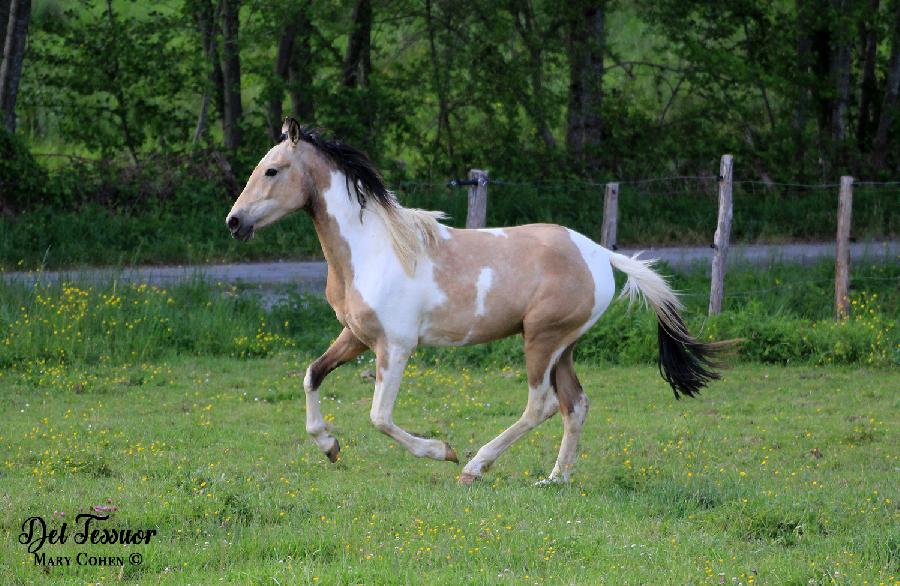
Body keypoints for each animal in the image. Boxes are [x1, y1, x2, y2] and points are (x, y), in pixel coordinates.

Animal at [225, 118, 724, 484]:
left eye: (272, 170)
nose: (234, 222)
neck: (373, 249)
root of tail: (601, 254)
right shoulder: (356, 335)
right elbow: (312, 375)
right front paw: (329, 446)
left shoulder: (396, 347)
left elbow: (379, 417)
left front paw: (441, 450)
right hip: (563, 346)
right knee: (574, 405)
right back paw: (554, 479)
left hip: (541, 340)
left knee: (540, 405)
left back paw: (474, 466)